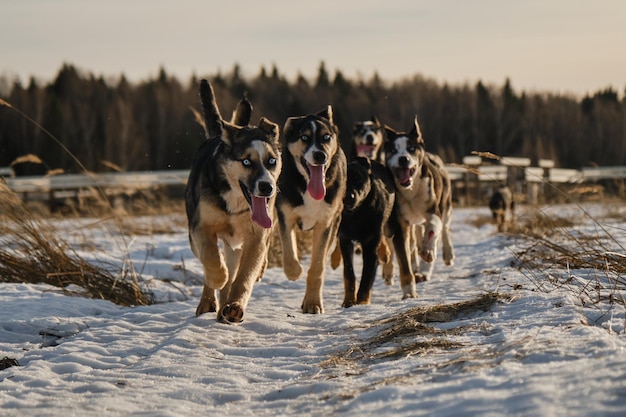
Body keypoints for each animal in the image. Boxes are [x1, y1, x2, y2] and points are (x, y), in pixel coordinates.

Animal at [184, 79, 282, 324]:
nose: (267, 187)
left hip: (240, 242)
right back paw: (209, 301)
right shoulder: (201, 227)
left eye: (272, 161)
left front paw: (235, 306)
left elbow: (244, 276)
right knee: (209, 262)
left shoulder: (256, 236)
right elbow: (211, 258)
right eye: (246, 161)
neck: (234, 202)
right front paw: (218, 279)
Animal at [276, 105, 346, 314]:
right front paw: (295, 272)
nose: (320, 155)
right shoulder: (285, 216)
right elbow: (289, 254)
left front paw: (313, 303)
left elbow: (317, 267)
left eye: (326, 137)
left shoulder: (325, 223)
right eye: (304, 137)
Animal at [330, 156, 392, 306]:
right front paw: (348, 301)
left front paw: (362, 301)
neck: (356, 214)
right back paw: (335, 259)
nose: (348, 196)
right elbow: (349, 273)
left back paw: (384, 253)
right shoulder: (346, 239)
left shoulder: (370, 244)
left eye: (359, 180)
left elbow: (367, 276)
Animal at [380, 117, 454, 298]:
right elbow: (403, 258)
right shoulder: (399, 225)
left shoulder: (433, 211)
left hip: (446, 207)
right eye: (393, 150)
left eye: (411, 148)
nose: (403, 159)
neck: (411, 191)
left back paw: (441, 256)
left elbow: (433, 227)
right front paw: (409, 292)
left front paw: (428, 251)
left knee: (444, 229)